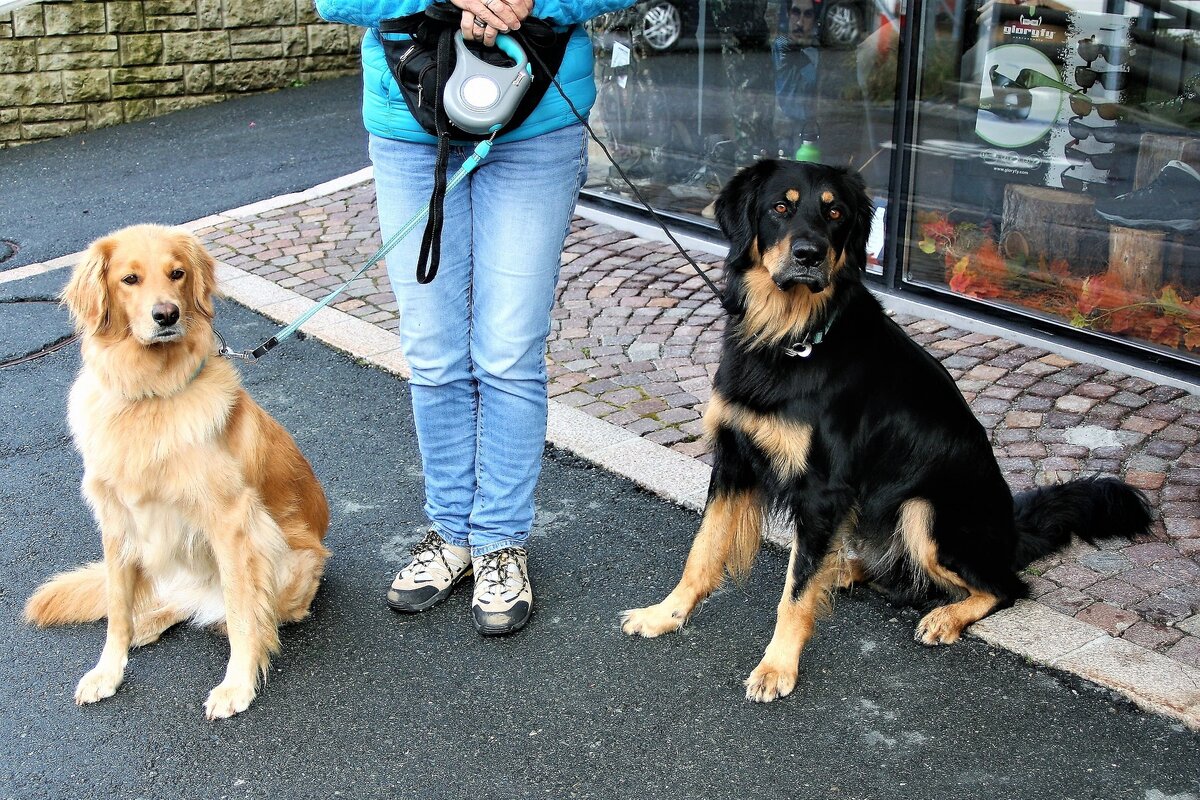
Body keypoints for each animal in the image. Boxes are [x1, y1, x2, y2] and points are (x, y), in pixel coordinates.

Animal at [24, 224, 333, 719]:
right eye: (130, 279)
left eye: (177, 273)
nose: (166, 314)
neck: (150, 393)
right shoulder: (116, 523)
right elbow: (116, 606)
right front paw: (108, 670)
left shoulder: (232, 523)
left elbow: (243, 615)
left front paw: (237, 684)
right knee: (169, 603)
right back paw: (145, 624)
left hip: (285, 557)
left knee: (236, 612)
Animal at [624, 159, 1147, 705]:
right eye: (781, 207)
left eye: (834, 212)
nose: (809, 254)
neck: (790, 335)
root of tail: (1012, 530)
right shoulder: (733, 460)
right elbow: (702, 551)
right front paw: (665, 614)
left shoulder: (823, 491)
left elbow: (795, 591)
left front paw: (777, 666)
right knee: (893, 570)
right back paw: (845, 569)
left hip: (925, 513)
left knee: (1003, 586)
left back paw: (944, 616)